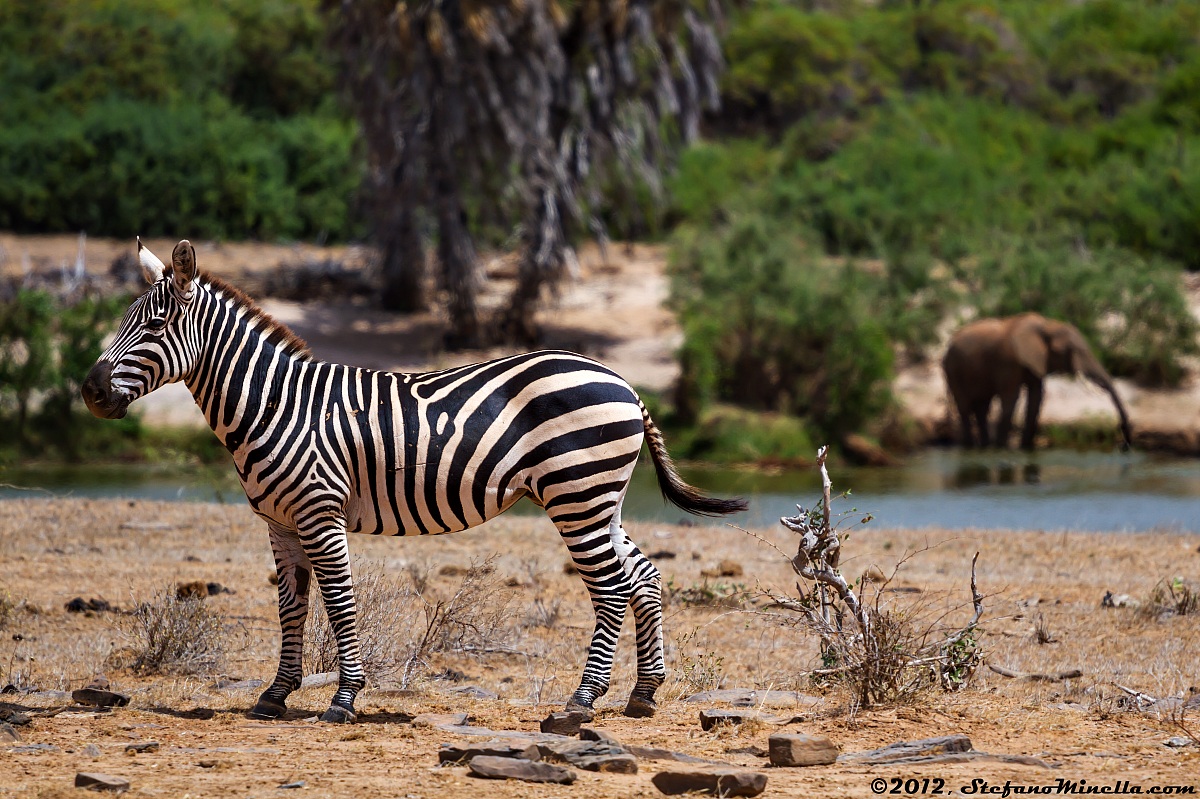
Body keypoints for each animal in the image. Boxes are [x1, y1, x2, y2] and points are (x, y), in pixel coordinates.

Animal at [82, 239, 747, 723]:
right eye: (125, 319)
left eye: (156, 325)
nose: (88, 391)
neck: (274, 404)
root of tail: (625, 383)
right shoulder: (278, 520)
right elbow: (293, 606)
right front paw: (274, 694)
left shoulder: (320, 511)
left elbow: (340, 603)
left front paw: (344, 700)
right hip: (599, 497)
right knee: (645, 576)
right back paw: (643, 695)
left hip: (575, 494)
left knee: (611, 587)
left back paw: (581, 703)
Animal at [942, 312, 1132, 451]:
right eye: (1069, 351)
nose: (1124, 444)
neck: (1047, 325)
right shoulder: (1008, 360)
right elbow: (1011, 398)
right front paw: (1002, 448)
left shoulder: (1036, 361)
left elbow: (1036, 398)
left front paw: (1026, 449)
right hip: (952, 369)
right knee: (965, 407)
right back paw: (971, 447)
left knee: (982, 407)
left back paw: (984, 446)